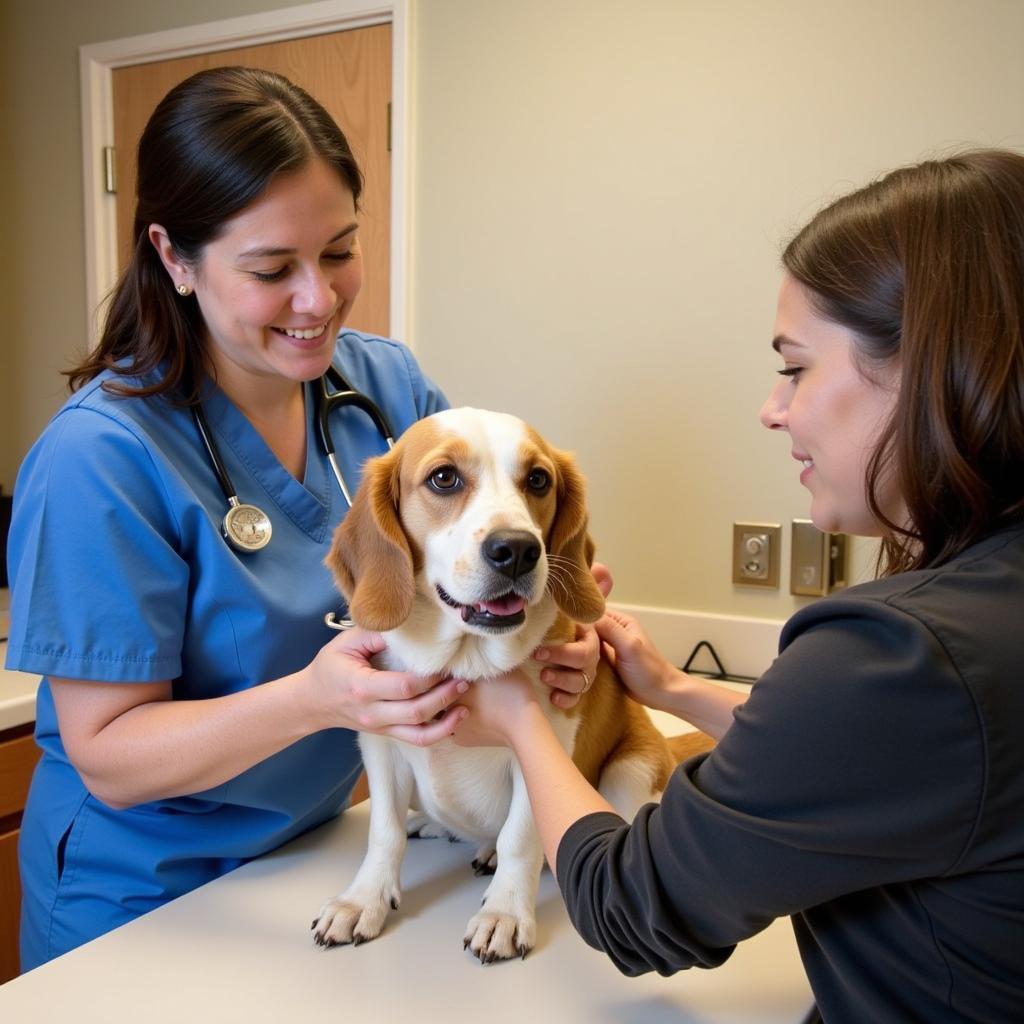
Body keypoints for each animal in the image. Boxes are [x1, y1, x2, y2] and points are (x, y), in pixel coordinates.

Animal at [307, 405, 700, 958]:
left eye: (538, 480)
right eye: (444, 478)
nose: (516, 550)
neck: (463, 659)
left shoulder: (543, 747)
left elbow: (520, 838)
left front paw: (506, 911)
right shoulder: (380, 744)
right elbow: (384, 832)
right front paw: (364, 898)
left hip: (631, 770)